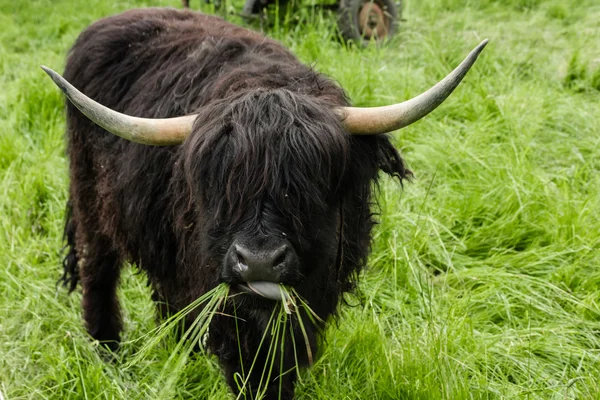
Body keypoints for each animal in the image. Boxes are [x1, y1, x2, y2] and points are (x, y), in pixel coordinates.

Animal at [45, 7, 488, 400]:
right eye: (220, 184)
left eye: (310, 183)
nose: (258, 261)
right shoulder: (224, 295)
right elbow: (247, 364)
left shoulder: (315, 292)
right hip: (90, 200)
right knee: (98, 270)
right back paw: (107, 351)